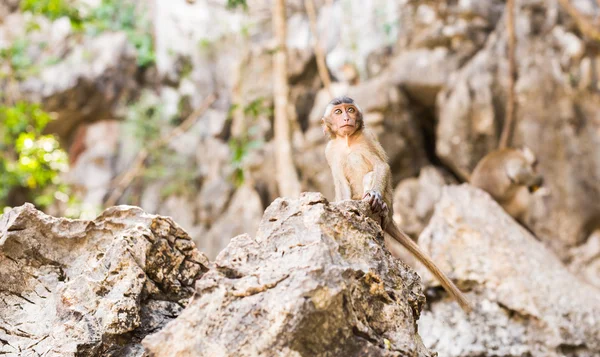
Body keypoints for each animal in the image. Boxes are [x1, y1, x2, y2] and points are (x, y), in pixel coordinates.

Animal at [322, 95, 472, 312]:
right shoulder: (330, 150)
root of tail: (391, 217)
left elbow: (381, 166)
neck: (347, 140)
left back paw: (378, 207)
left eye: (350, 109)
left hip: (388, 202)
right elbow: (340, 181)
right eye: (338, 112)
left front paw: (374, 195)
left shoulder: (367, 136)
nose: (346, 118)